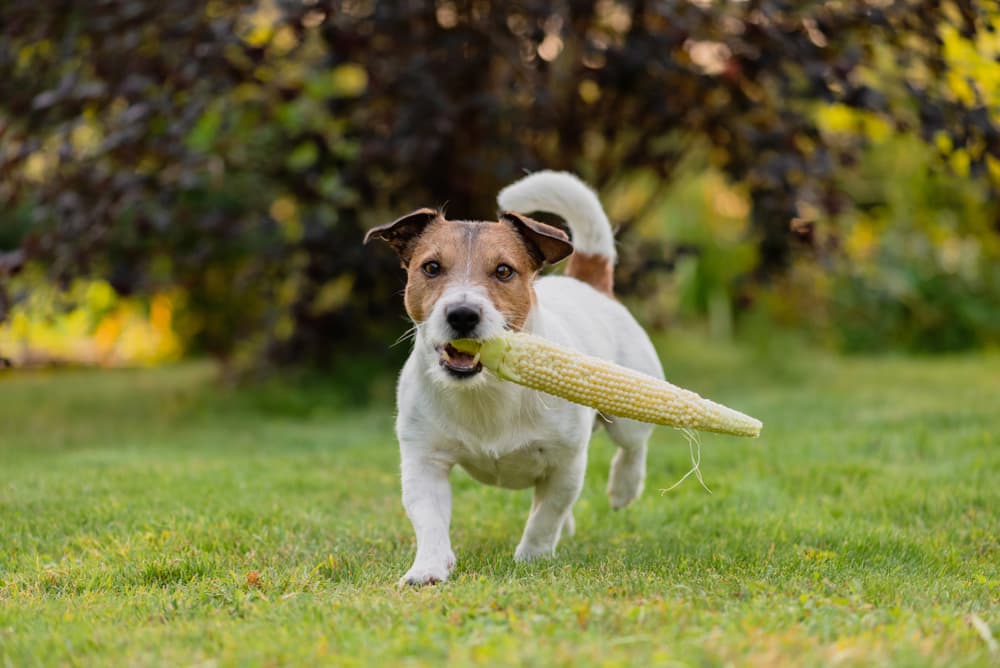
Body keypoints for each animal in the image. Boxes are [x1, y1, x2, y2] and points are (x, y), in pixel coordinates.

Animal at [366, 172, 664, 584]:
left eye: (504, 271)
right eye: (431, 268)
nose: (462, 314)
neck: (487, 390)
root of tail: (589, 284)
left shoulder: (566, 463)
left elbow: (545, 516)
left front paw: (532, 558)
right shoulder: (424, 461)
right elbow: (429, 519)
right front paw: (428, 568)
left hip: (629, 407)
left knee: (634, 445)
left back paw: (624, 487)